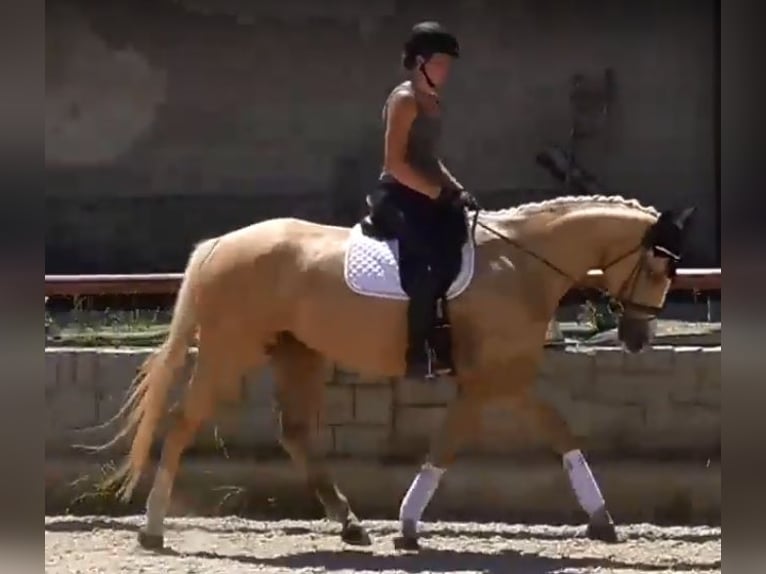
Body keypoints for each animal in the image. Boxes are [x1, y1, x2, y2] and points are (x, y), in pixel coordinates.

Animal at [99, 193, 694, 551]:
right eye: (661, 267)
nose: (637, 340)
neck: (521, 264)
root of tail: (219, 244)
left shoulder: (505, 378)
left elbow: (555, 433)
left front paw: (600, 518)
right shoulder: (493, 379)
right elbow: (458, 442)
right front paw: (408, 527)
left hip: (298, 352)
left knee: (295, 433)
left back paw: (350, 524)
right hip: (231, 350)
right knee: (182, 424)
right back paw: (152, 529)